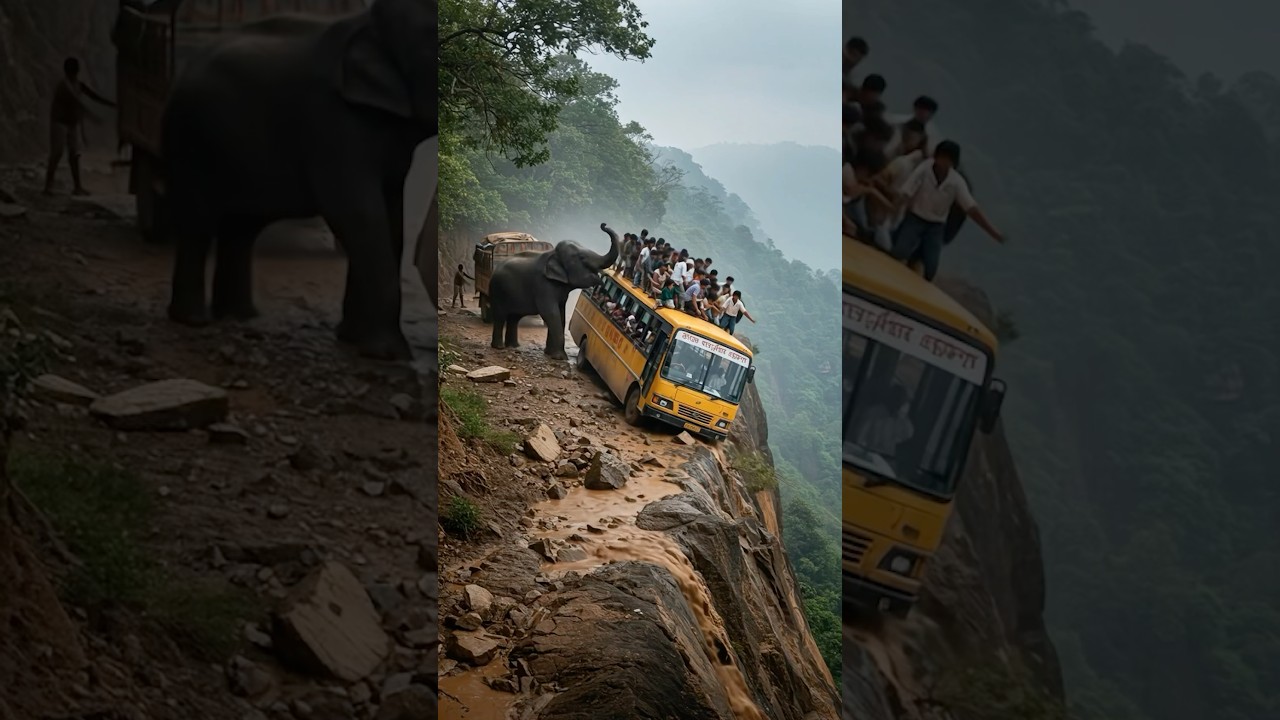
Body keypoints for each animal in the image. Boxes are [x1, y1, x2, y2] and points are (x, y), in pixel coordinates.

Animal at [162, 0, 438, 361]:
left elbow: (390, 220)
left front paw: (351, 339)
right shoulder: (332, 120)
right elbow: (357, 212)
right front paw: (389, 355)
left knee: (240, 227)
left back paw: (239, 316)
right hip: (191, 139)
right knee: (199, 222)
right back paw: (194, 320)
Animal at [489, 223, 620, 360]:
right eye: (582, 258)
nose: (603, 224)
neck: (553, 254)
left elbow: (561, 313)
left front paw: (549, 353)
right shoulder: (543, 285)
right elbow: (551, 313)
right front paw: (560, 357)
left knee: (514, 317)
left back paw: (514, 346)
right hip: (497, 290)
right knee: (500, 316)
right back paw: (499, 347)